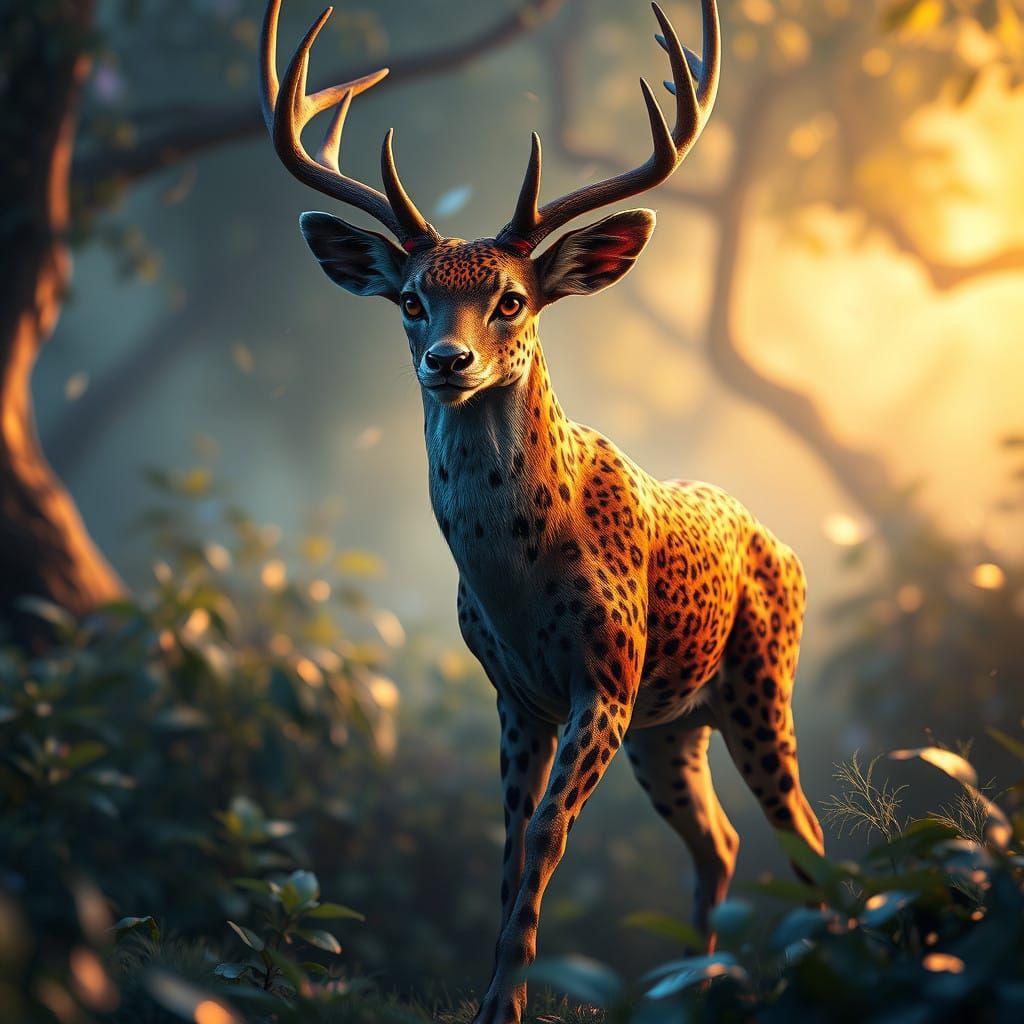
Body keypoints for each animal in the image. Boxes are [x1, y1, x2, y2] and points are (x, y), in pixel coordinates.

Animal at [259, 0, 824, 1020]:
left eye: (512, 299)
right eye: (411, 300)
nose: (447, 361)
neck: (517, 579)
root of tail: (789, 552)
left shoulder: (603, 677)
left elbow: (549, 836)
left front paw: (506, 1002)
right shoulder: (513, 692)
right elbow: (511, 840)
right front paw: (496, 993)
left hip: (761, 682)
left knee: (802, 832)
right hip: (671, 725)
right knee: (718, 841)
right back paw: (689, 990)